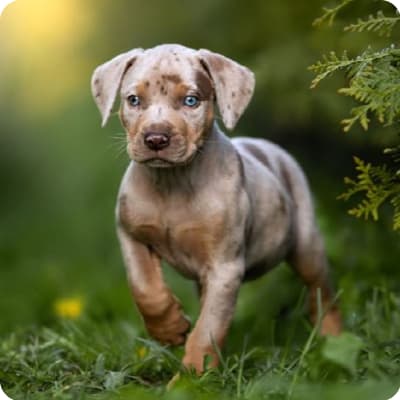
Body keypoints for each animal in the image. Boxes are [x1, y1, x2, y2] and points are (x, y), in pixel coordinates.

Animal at [90, 44, 340, 376]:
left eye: (191, 100)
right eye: (133, 100)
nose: (155, 138)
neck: (173, 182)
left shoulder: (225, 267)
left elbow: (208, 328)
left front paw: (193, 377)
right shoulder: (131, 235)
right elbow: (145, 288)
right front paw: (169, 329)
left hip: (306, 243)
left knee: (322, 291)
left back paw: (332, 339)